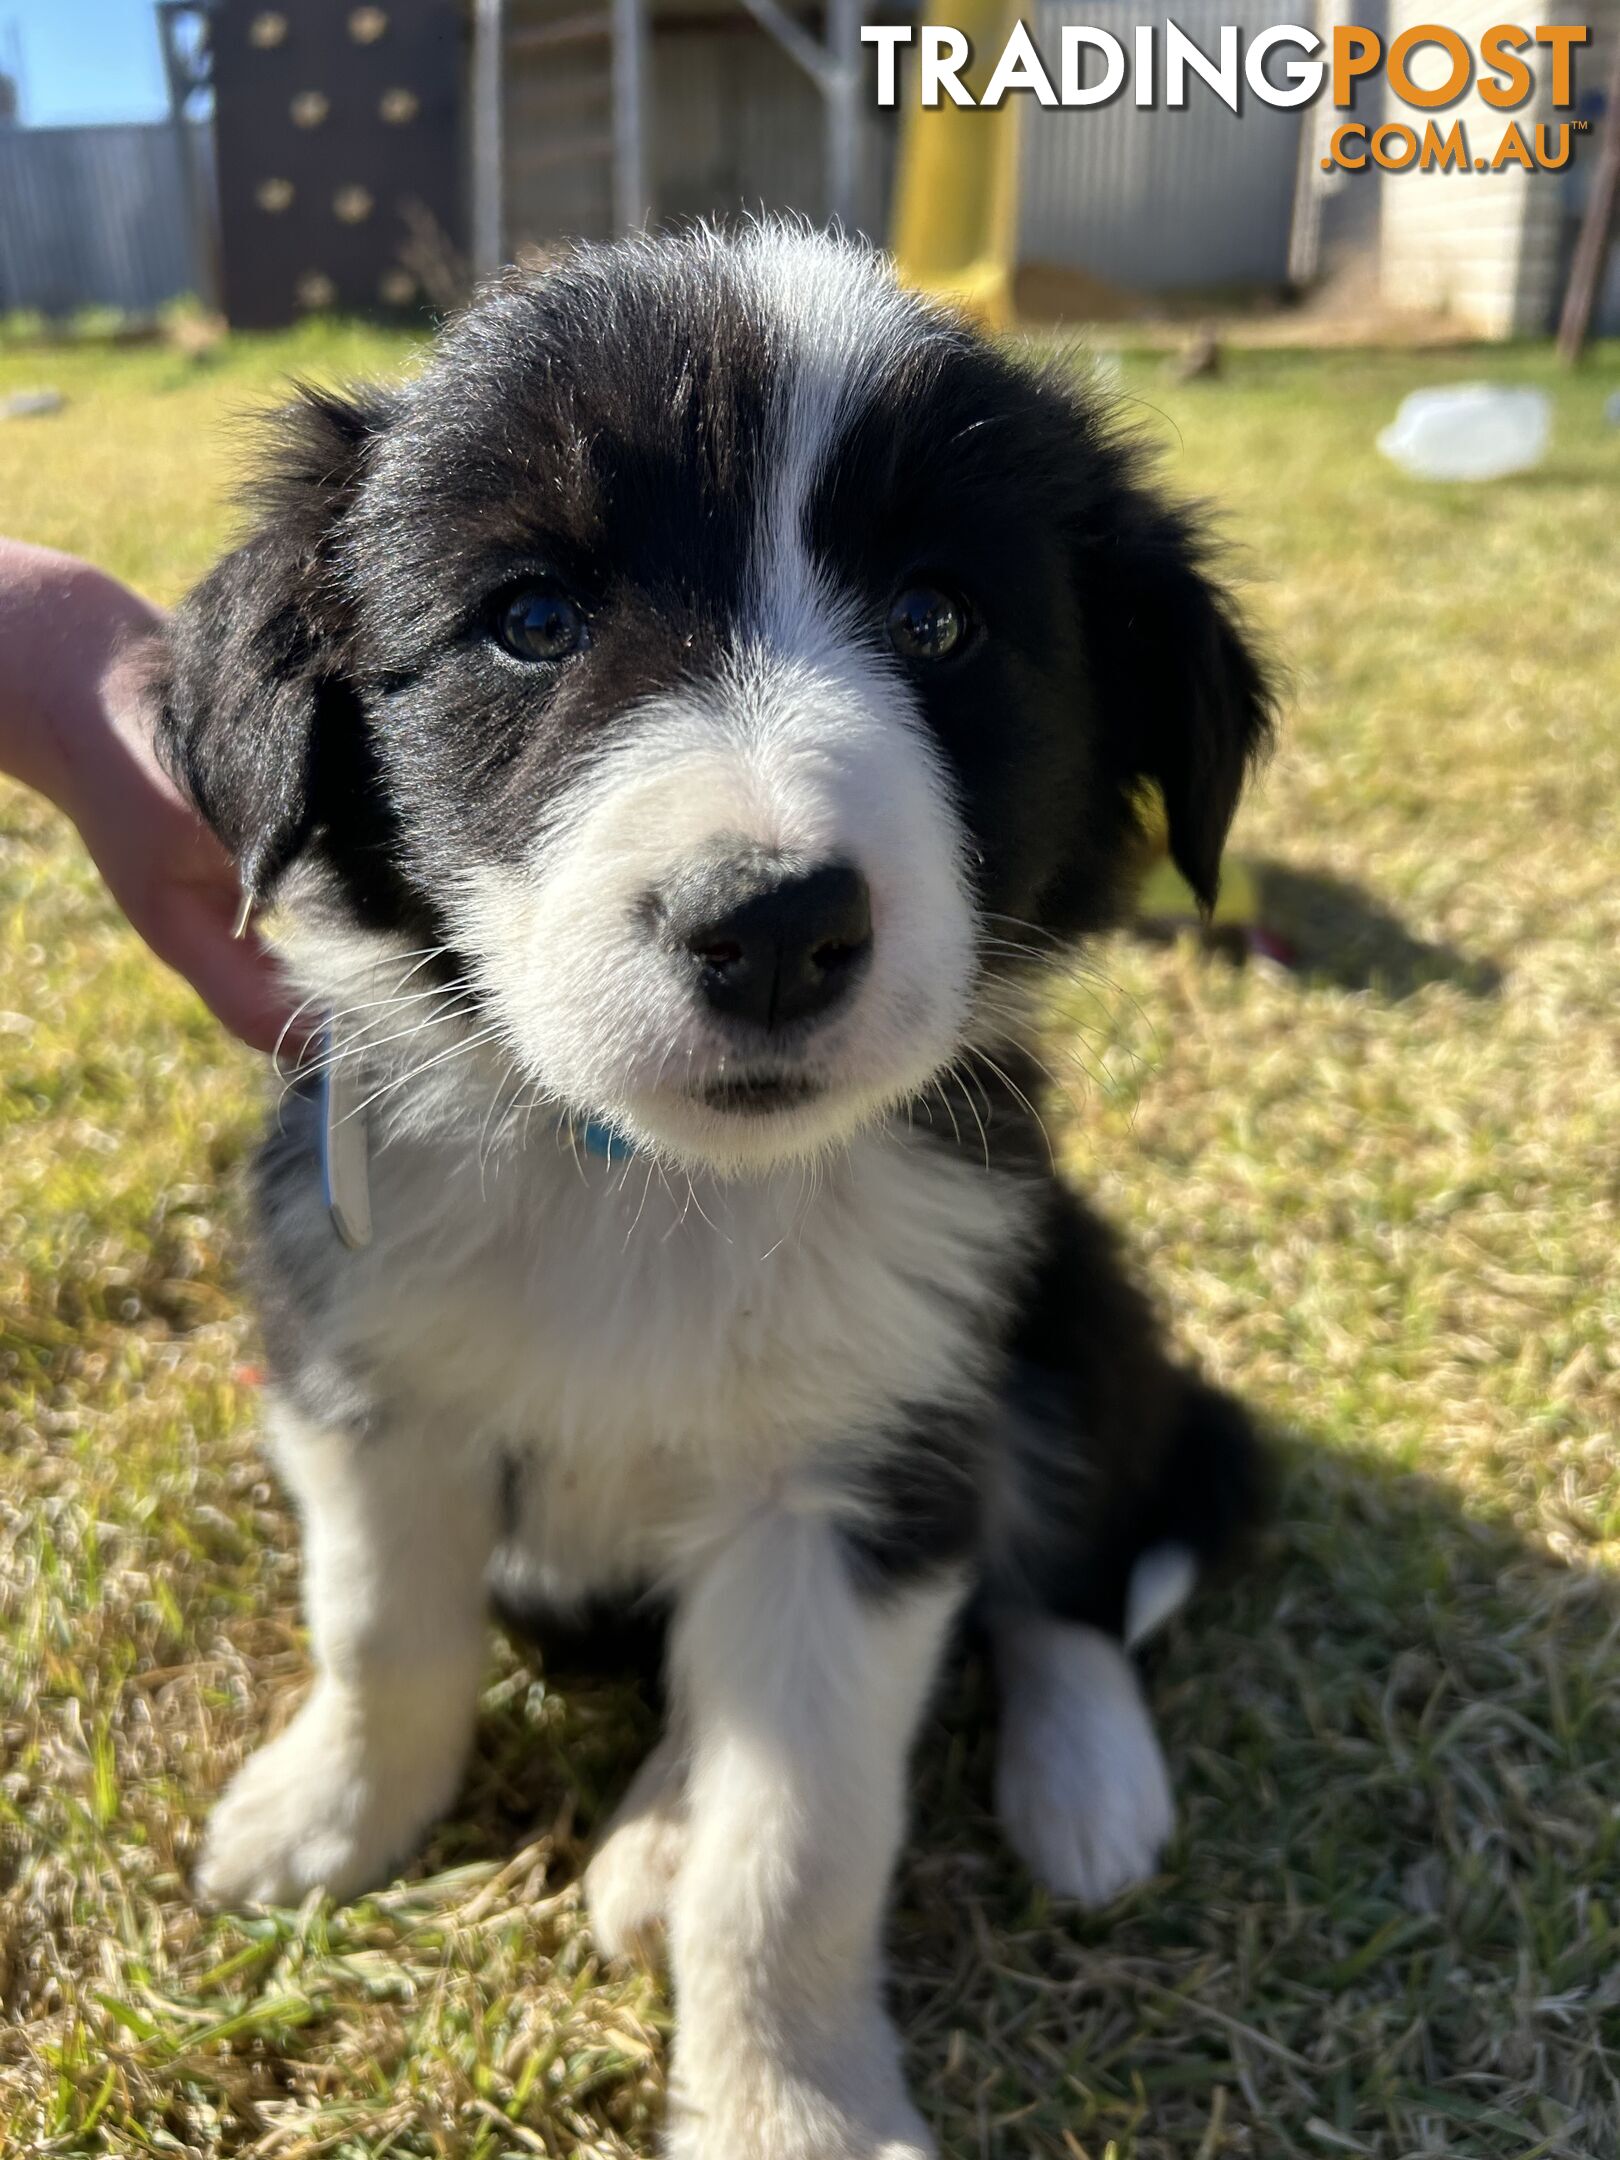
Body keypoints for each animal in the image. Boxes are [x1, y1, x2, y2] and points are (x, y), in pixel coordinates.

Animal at [165, 227, 1278, 2151]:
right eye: (531, 620)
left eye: (938, 622)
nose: (767, 927)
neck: (653, 1189)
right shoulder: (359, 1362)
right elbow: (383, 1626)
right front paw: (331, 1814)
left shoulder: (869, 1467)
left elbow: (800, 1845)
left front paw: (790, 2111)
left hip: (1061, 1292)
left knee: (1073, 1564)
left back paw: (1077, 1784)